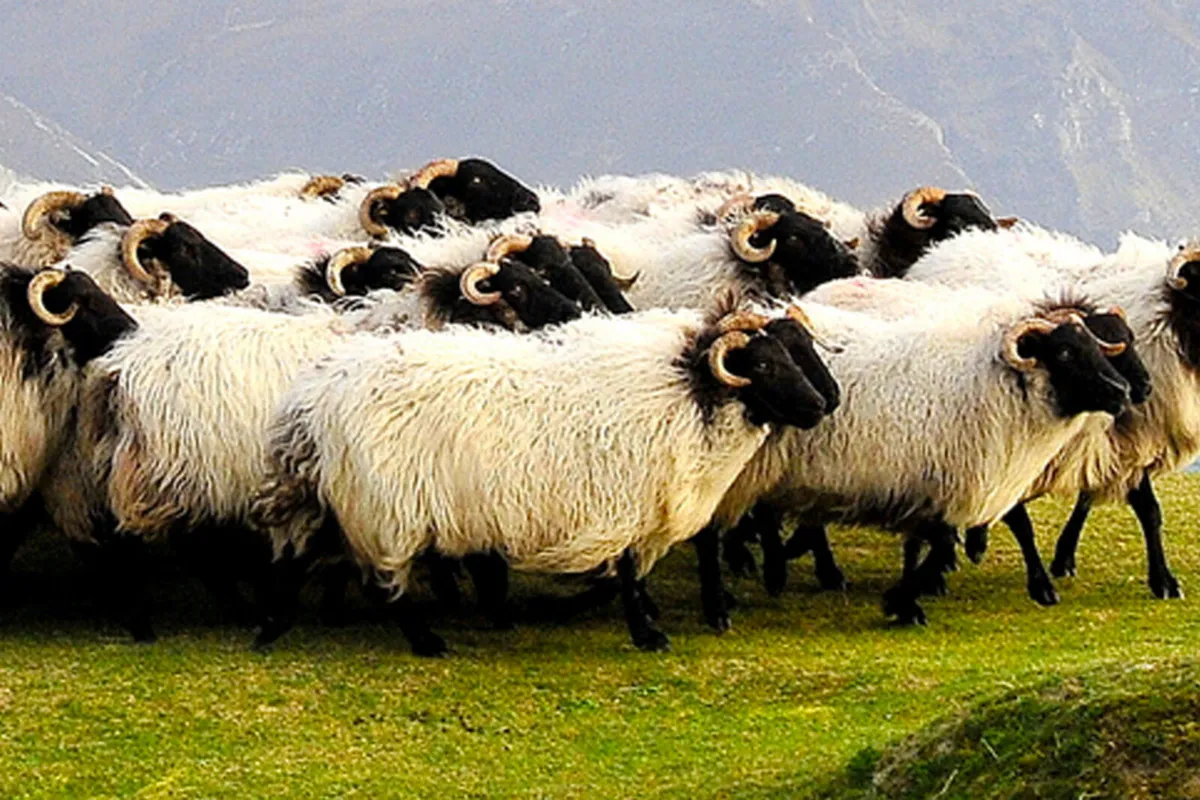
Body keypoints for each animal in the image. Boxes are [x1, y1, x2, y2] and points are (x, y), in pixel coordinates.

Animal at [249, 306, 832, 655]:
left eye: (793, 354)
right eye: (763, 363)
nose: (819, 406)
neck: (687, 393)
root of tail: (314, 400)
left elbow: (625, 575)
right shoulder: (625, 503)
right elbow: (628, 575)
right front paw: (647, 633)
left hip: (343, 497)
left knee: (297, 553)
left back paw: (271, 627)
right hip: (386, 506)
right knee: (380, 584)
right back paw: (425, 641)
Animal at [693, 294, 1133, 630]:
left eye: (1094, 345)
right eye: (1065, 351)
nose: (1123, 390)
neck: (997, 387)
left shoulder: (927, 484)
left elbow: (926, 545)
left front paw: (908, 600)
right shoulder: (938, 481)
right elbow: (939, 545)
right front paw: (900, 601)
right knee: (713, 531)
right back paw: (735, 593)